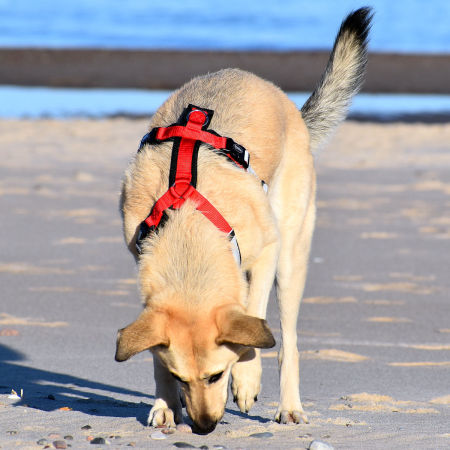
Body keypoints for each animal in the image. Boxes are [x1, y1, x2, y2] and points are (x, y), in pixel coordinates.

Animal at [116, 7, 372, 434]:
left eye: (217, 375)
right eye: (181, 378)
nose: (204, 427)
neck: (188, 225)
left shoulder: (265, 251)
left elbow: (254, 317)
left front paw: (247, 379)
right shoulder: (144, 267)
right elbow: (154, 352)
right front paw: (165, 403)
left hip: (291, 256)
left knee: (288, 340)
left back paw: (289, 406)